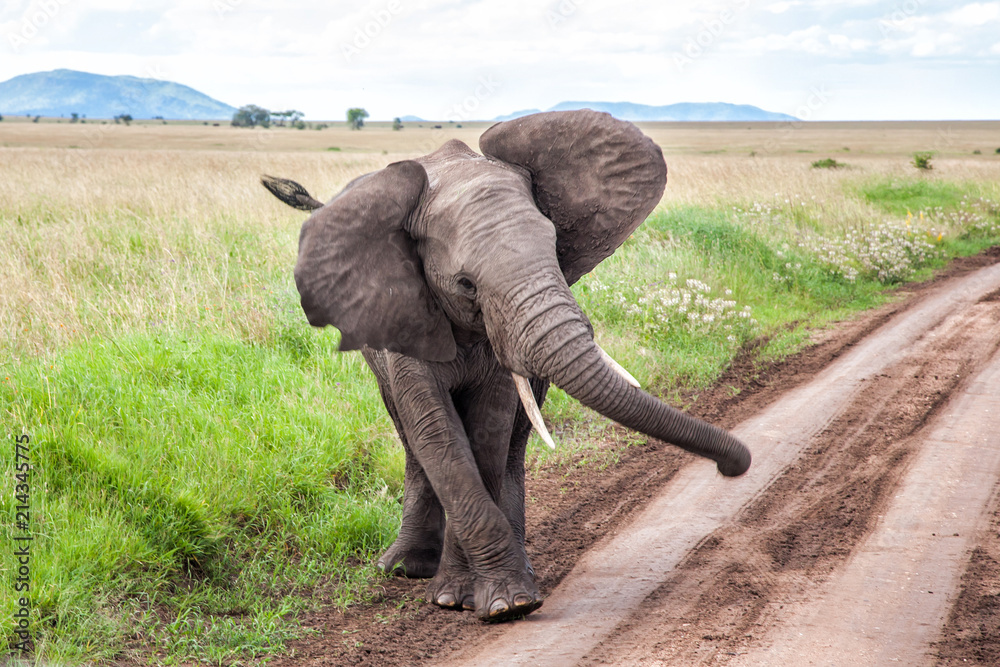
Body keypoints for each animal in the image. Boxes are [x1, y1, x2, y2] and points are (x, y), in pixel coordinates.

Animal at [260, 110, 751, 622]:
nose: (731, 468)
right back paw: (402, 569)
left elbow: (488, 430)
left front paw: (491, 598)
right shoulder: (405, 309)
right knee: (410, 434)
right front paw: (486, 603)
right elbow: (438, 435)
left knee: (513, 441)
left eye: (556, 250)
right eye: (466, 284)